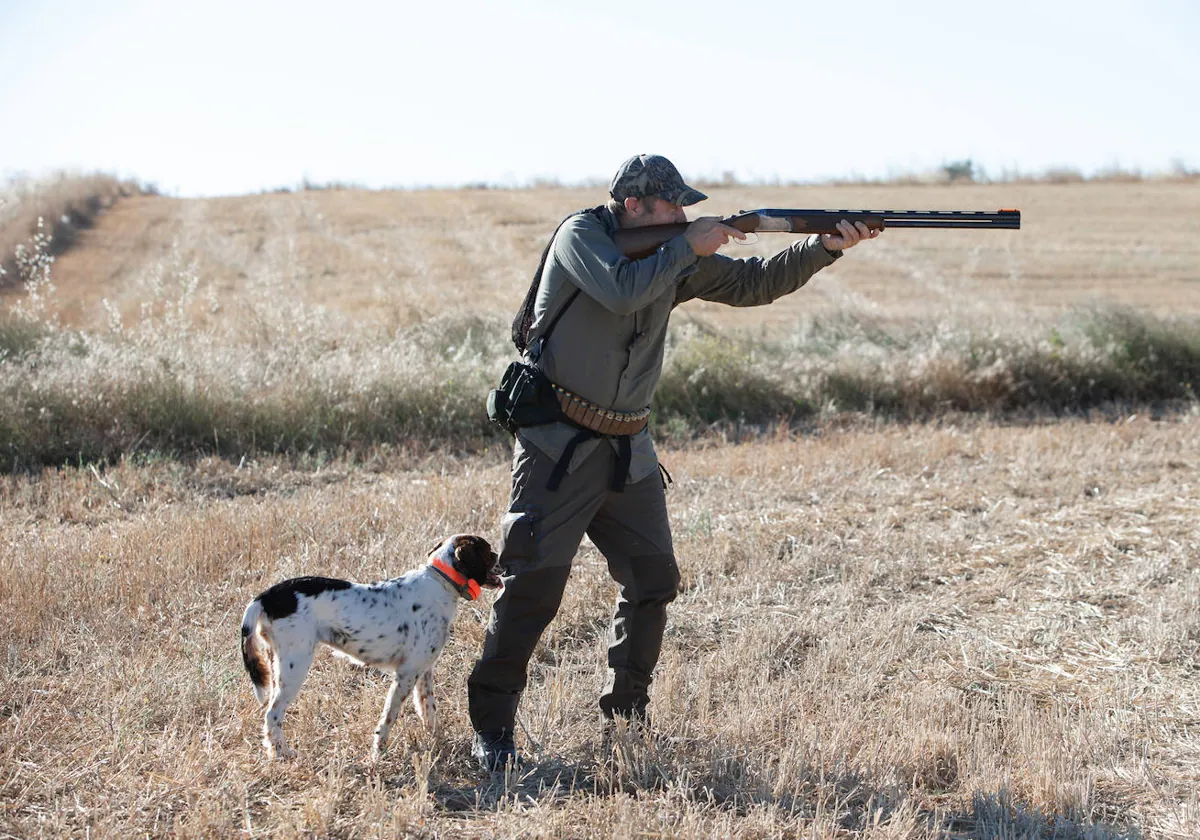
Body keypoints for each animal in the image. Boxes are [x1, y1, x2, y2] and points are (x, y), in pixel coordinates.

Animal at [241, 530, 504, 763]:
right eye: (489, 552)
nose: (503, 561)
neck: (440, 582)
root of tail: (265, 597)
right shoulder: (406, 673)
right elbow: (389, 716)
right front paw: (378, 752)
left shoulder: (424, 671)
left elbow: (428, 710)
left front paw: (438, 742)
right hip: (295, 666)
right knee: (272, 714)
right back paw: (281, 754)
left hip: (278, 666)